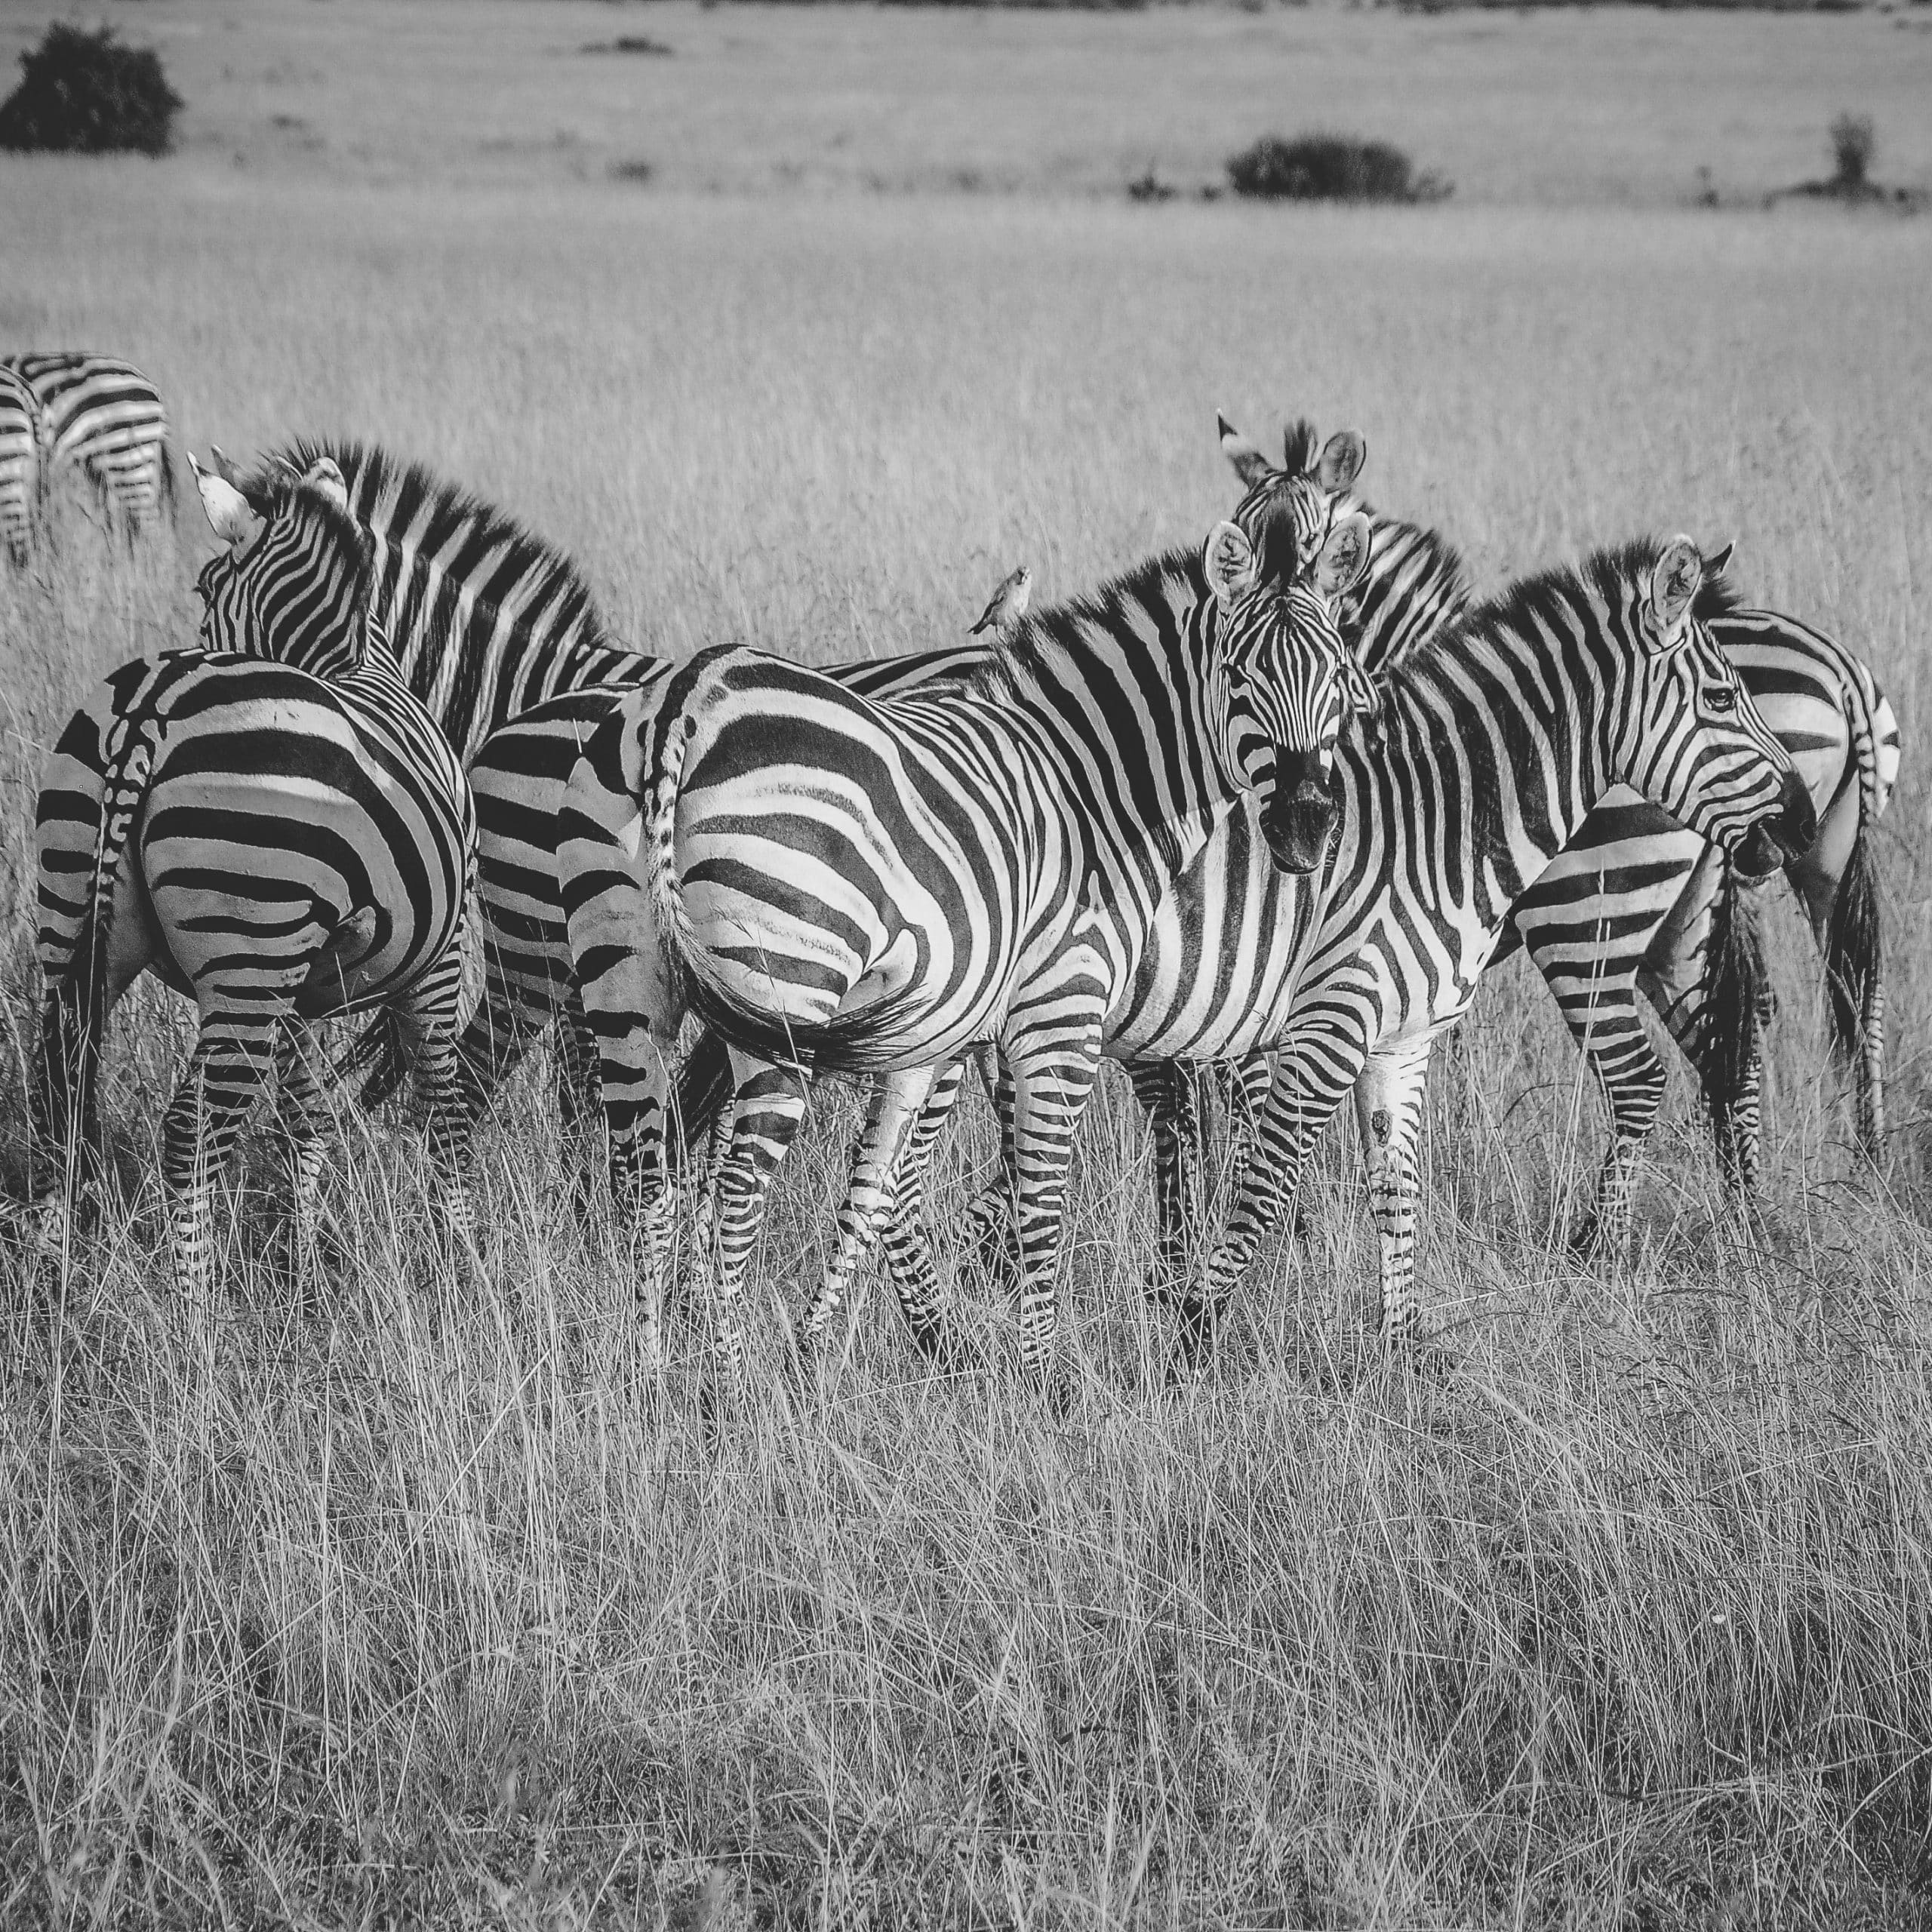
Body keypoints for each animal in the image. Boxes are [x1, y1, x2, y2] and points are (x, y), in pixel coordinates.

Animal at [31, 457, 475, 1298]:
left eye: (204, 589)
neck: (354, 661)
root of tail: (153, 705)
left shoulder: (305, 987)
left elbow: (306, 1115)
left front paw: (302, 1264)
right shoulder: (442, 958)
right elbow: (446, 1106)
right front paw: (459, 1259)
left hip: (76, 919)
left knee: (58, 1094)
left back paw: (52, 1277)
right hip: (249, 953)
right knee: (191, 1132)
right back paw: (196, 1311)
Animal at [564, 481, 1383, 1391]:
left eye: (1339, 679)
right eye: (1239, 677)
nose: (1309, 828)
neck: (1090, 789)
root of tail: (689, 696)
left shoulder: (945, 1031)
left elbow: (882, 1183)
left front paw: (834, 1352)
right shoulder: (1060, 1008)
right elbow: (1042, 1196)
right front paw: (1042, 1378)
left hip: (626, 986)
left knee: (648, 1179)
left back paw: (651, 1381)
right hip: (783, 990)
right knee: (734, 1198)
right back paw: (731, 1389)